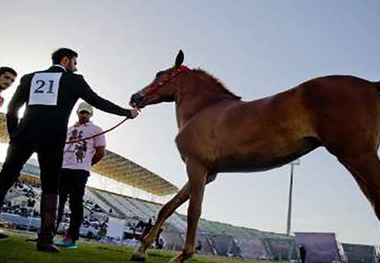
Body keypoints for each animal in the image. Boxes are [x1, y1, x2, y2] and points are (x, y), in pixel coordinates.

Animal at [130, 50, 380, 262]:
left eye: (160, 75)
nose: (135, 97)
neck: (203, 109)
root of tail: (370, 84)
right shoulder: (207, 173)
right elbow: (168, 207)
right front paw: (140, 251)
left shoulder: (197, 167)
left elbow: (194, 210)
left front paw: (182, 255)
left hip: (358, 156)